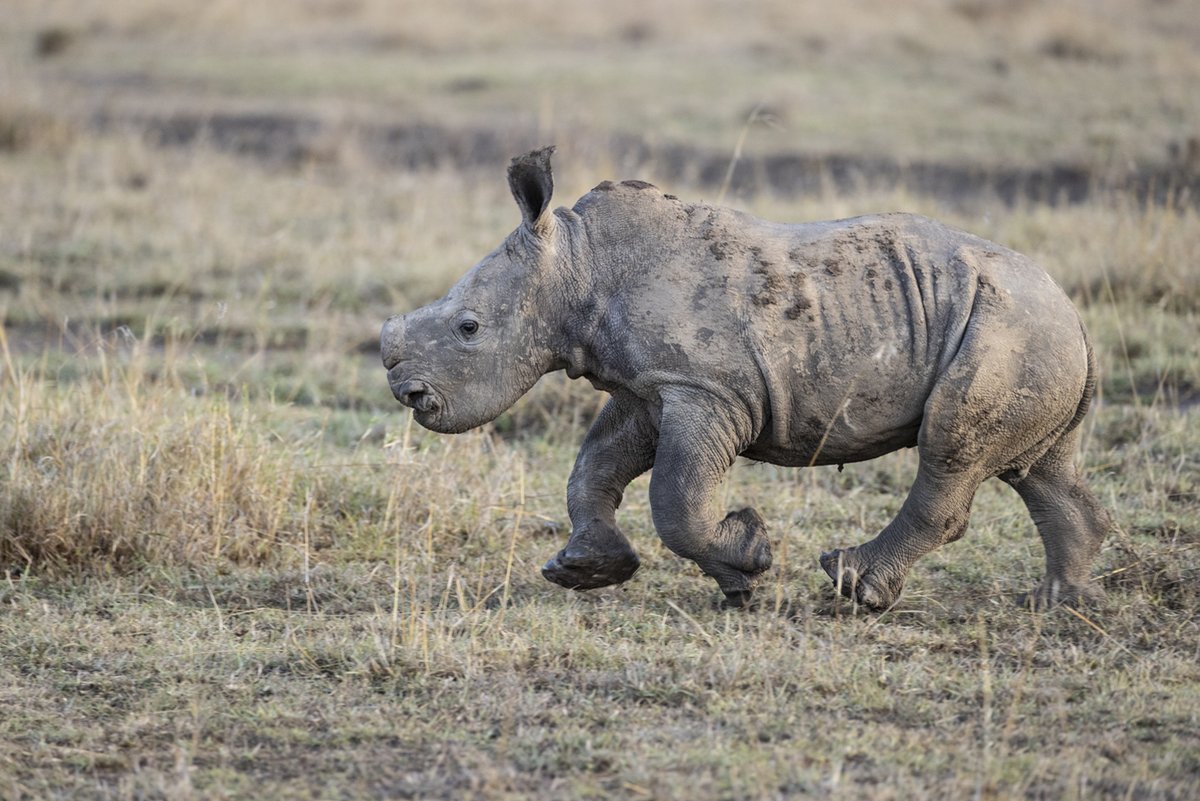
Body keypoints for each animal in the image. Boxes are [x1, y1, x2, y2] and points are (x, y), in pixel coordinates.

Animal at [379, 146, 1108, 609]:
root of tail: (1073, 311)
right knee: (1040, 468)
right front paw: (583, 569)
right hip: (1028, 334)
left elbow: (676, 498)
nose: (410, 394)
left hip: (1008, 329)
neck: (577, 266)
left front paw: (747, 562)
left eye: (469, 327)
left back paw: (854, 587)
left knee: (951, 450)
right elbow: (595, 467)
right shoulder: (648, 389)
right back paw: (1057, 606)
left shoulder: (708, 389)